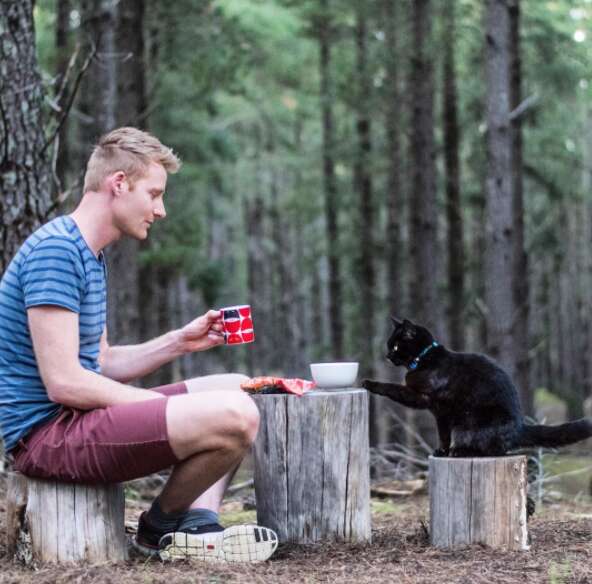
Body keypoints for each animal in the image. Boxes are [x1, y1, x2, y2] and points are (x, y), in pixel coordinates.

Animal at [360, 318, 592, 458]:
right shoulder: (438, 412)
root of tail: (520, 427)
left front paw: (369, 383)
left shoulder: (425, 400)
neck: (425, 358)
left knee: (493, 450)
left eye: (396, 345)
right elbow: (442, 433)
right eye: (390, 345)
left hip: (469, 424)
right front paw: (441, 451)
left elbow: (393, 389)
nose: (387, 355)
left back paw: (461, 451)